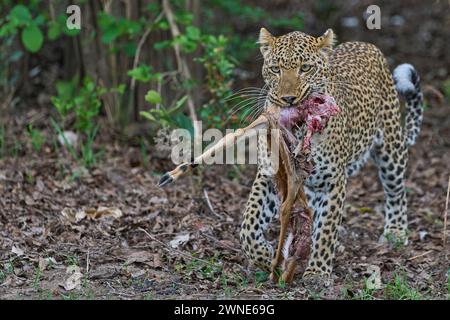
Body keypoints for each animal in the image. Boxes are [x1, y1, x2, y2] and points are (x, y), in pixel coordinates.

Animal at [241, 28, 424, 282]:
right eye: (276, 69)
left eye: (305, 68)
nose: (288, 99)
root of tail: (367, 44)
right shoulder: (269, 172)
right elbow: (249, 224)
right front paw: (265, 255)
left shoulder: (332, 181)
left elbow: (327, 227)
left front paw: (318, 272)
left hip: (391, 150)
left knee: (397, 191)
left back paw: (395, 231)